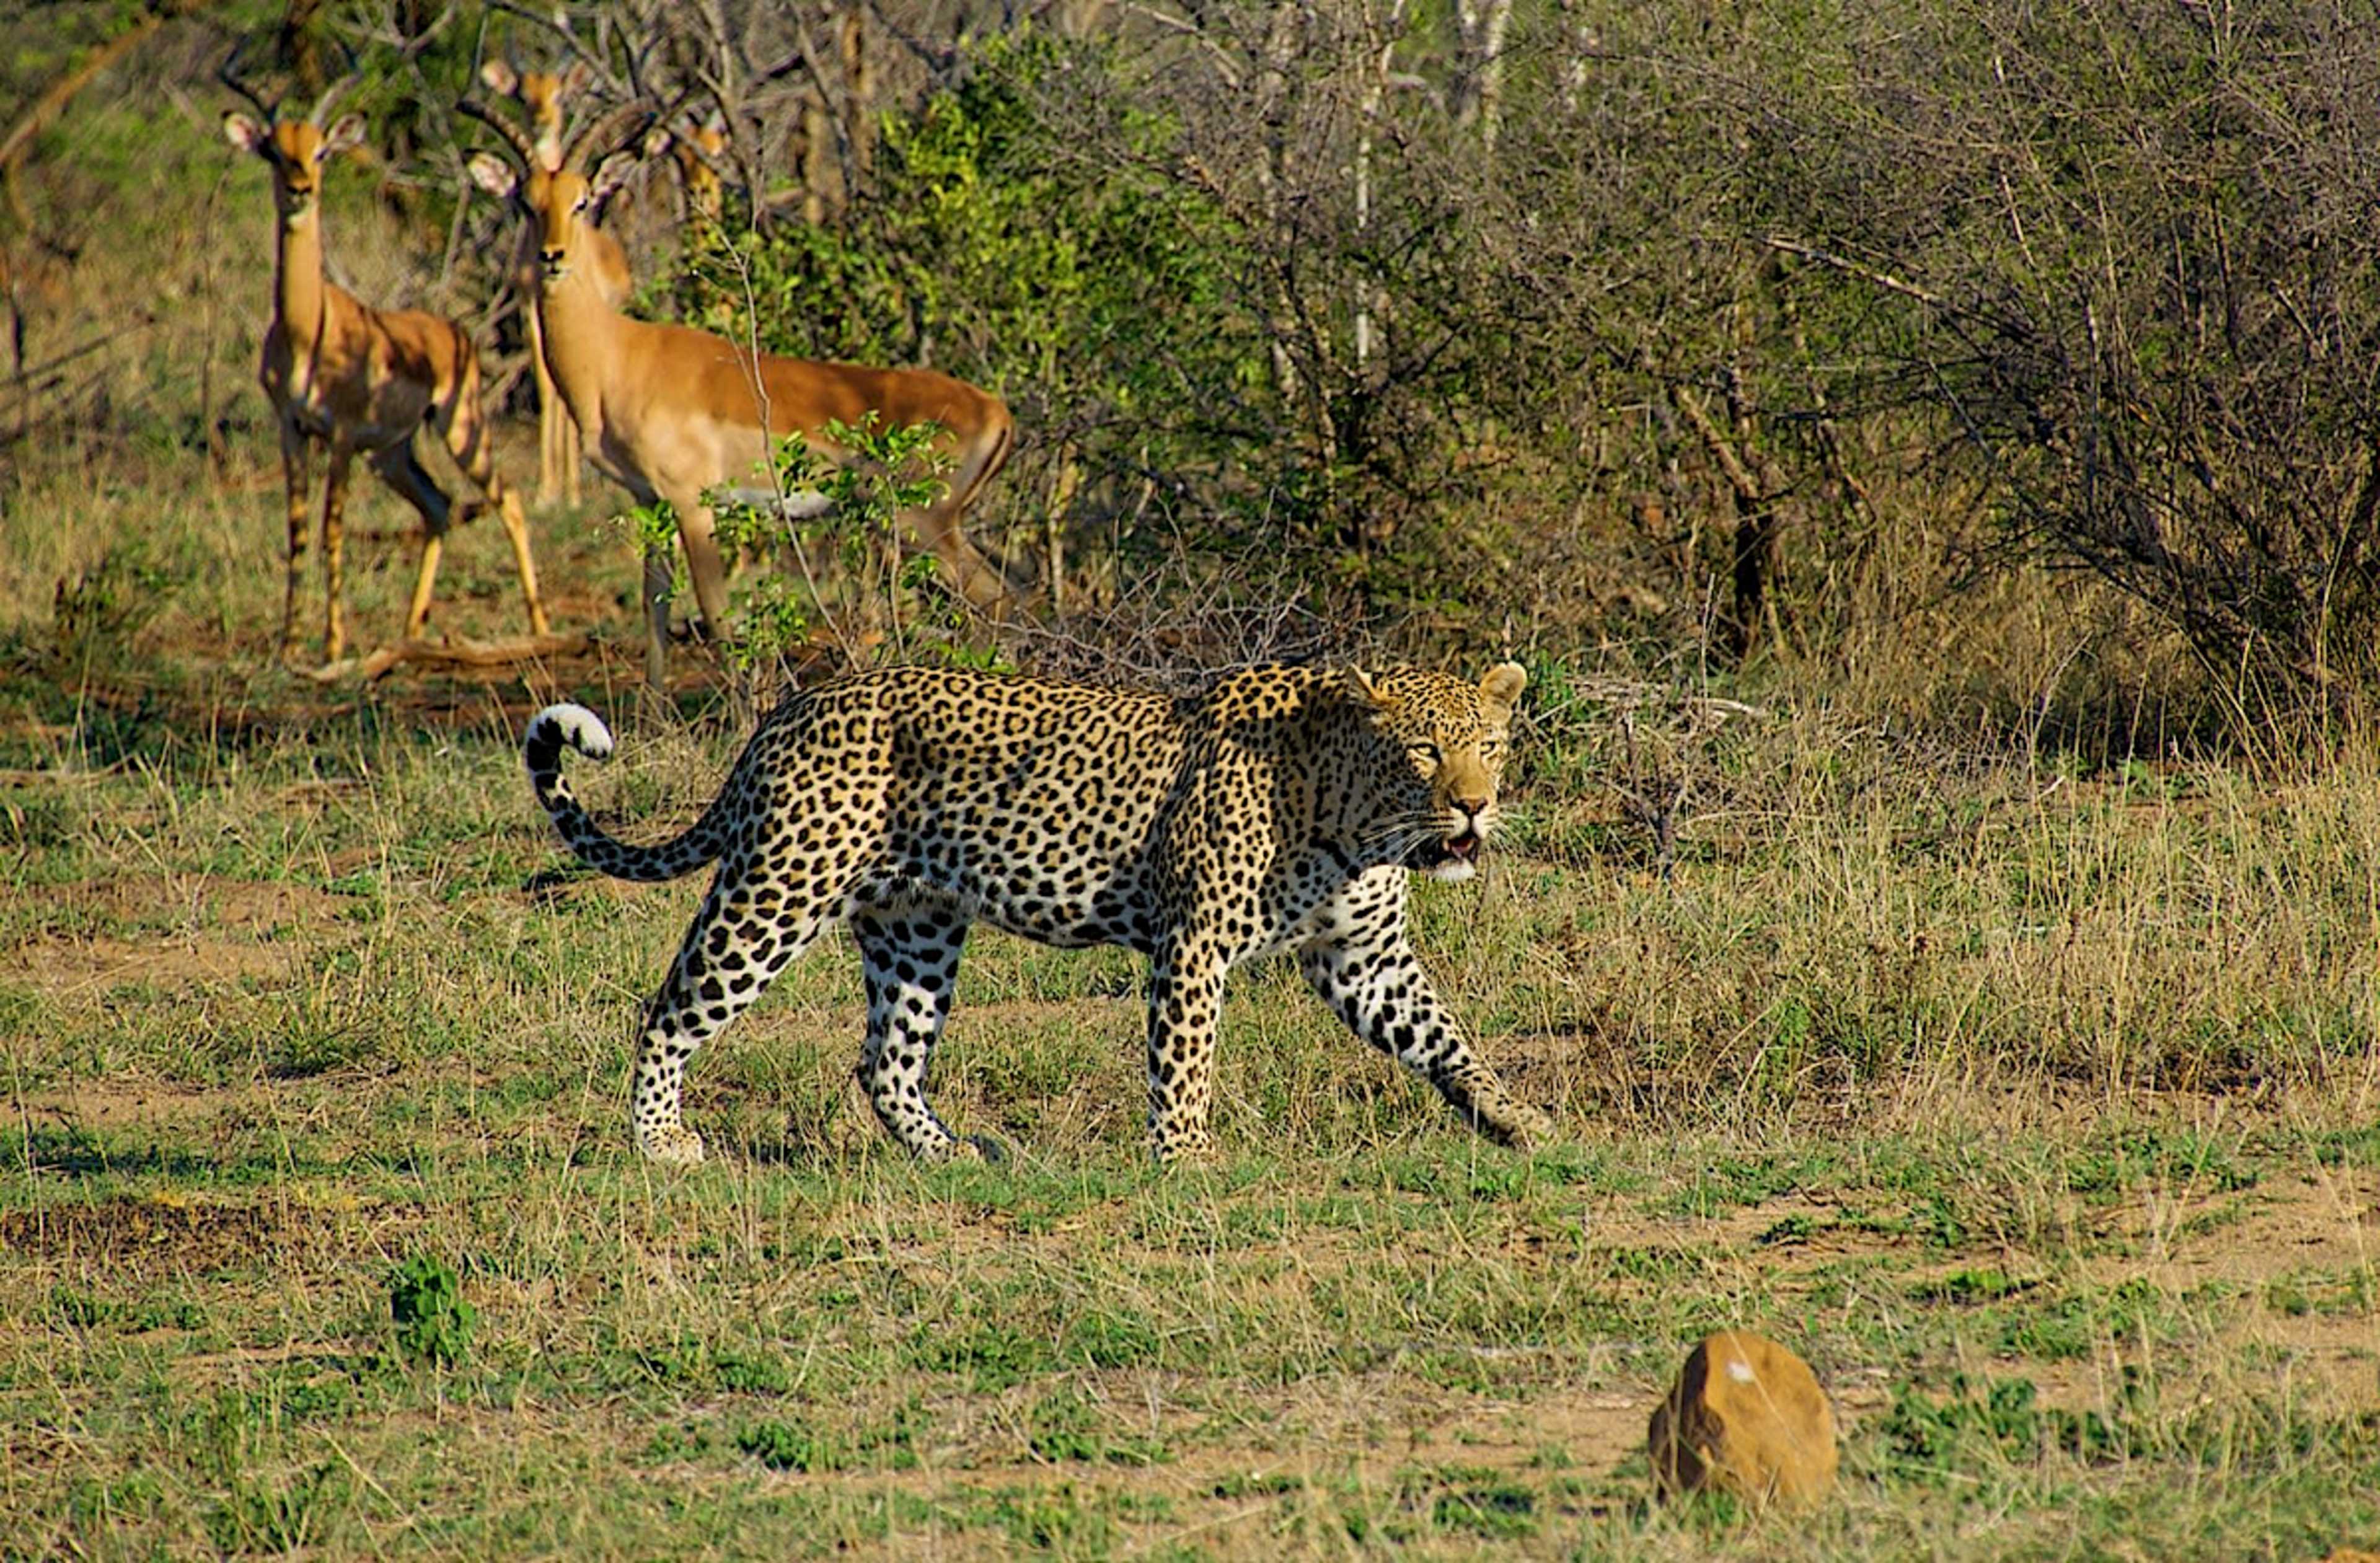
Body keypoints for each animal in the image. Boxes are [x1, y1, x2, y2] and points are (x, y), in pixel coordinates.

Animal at [221, 57, 546, 665]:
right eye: (273, 150)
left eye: (322, 150)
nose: (300, 191)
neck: (307, 331)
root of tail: (454, 333)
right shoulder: (292, 430)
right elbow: (298, 531)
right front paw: (289, 643)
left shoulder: (342, 435)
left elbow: (332, 528)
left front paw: (332, 645)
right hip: (393, 454)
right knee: (439, 506)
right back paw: (414, 630)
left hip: (459, 429)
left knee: (508, 497)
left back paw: (539, 626)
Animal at [463, 103, 1021, 686]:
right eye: (526, 202)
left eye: (583, 200)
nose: (552, 256)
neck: (617, 357)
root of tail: (997, 411)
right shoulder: (649, 500)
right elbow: (654, 612)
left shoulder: (693, 504)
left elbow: (717, 617)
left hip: (922, 525)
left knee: (1000, 601)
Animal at [476, 58, 633, 508]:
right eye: (527, 204)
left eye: (581, 202)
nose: (552, 256)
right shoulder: (530, 308)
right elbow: (550, 390)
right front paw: (550, 493)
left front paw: (572, 494)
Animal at [520, 660, 1554, 1165]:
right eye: (1424, 750)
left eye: (1492, 745)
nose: (1474, 806)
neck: (1360, 816)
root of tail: (787, 711)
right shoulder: (1194, 943)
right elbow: (1185, 1062)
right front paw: (1186, 1160)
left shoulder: (1365, 956)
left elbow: (1447, 1038)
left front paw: (1519, 1122)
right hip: (779, 889)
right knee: (670, 1010)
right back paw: (661, 1142)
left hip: (917, 922)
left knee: (885, 1058)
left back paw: (950, 1154)